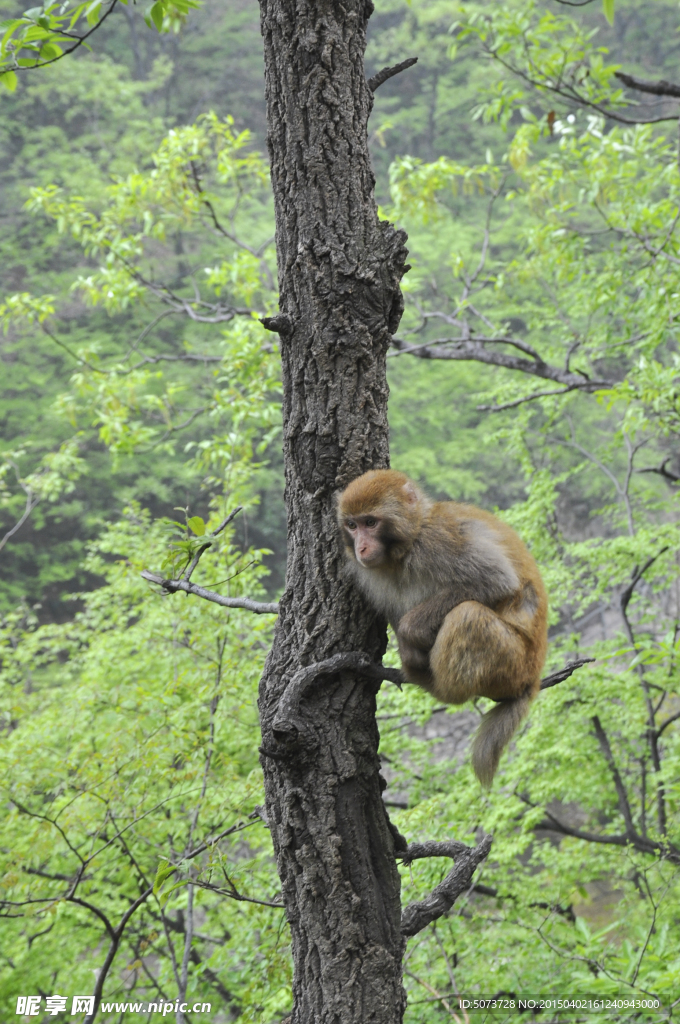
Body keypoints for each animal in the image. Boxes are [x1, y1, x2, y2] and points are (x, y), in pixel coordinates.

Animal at [337, 468, 548, 786]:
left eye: (370, 523)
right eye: (352, 525)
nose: (361, 547)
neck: (408, 544)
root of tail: (532, 680)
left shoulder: (438, 540)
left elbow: (495, 580)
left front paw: (411, 635)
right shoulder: (369, 575)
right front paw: (410, 651)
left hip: (514, 663)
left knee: (467, 616)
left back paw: (441, 688)